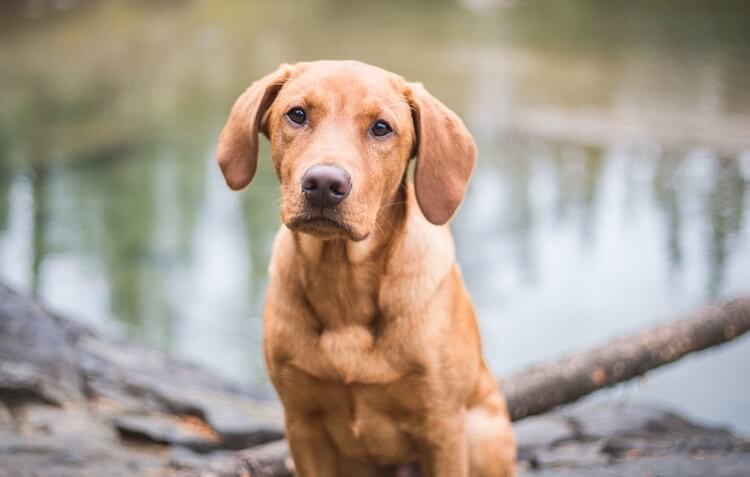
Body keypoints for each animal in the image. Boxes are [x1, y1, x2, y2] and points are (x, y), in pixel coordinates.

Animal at [217, 61, 516, 474]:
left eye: (381, 127)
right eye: (297, 114)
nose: (324, 183)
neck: (342, 278)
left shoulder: (442, 427)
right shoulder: (302, 425)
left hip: (482, 433)